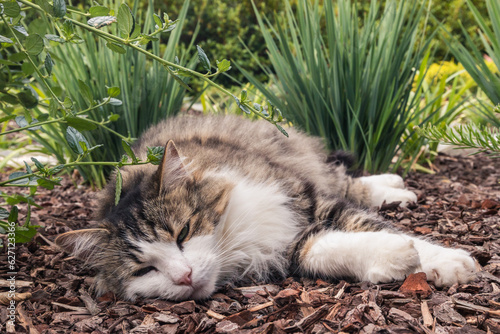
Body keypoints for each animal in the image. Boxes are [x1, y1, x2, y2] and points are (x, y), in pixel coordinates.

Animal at [55, 115, 476, 302]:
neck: (237, 243)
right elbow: (331, 247)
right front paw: (393, 258)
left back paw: (395, 186)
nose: (185, 277)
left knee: (348, 180)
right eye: (144, 270)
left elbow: (382, 227)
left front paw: (448, 262)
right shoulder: (291, 247)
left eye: (183, 233)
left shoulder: (309, 199)